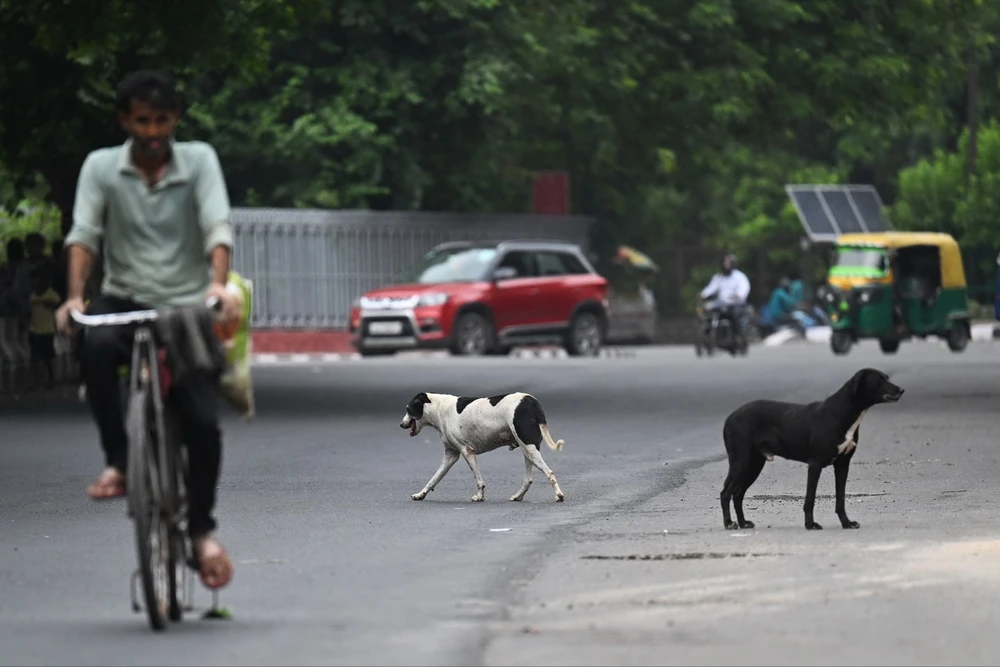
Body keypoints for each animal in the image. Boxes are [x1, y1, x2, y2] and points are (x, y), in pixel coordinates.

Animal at [400, 392, 572, 500]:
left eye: (408, 409)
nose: (401, 425)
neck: (438, 408)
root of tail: (531, 401)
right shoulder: (450, 456)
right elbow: (434, 478)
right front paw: (420, 494)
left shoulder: (467, 452)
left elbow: (478, 480)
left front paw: (479, 496)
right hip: (527, 450)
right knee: (528, 479)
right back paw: (518, 496)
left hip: (529, 448)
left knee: (549, 472)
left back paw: (559, 495)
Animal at [724, 370, 904, 532]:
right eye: (879, 380)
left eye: (887, 377)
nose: (901, 390)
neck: (842, 412)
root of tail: (730, 417)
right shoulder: (815, 464)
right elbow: (810, 499)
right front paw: (810, 525)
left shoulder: (843, 465)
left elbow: (840, 498)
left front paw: (847, 523)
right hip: (741, 462)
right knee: (726, 493)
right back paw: (729, 524)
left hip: (754, 465)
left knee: (737, 494)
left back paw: (743, 523)